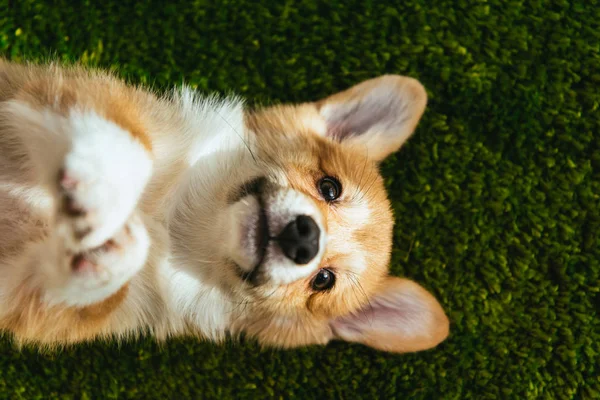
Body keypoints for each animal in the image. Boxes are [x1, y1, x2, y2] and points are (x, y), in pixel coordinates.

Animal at [0, 59, 448, 354]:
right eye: (329, 187)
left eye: (323, 280)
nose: (306, 238)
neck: (170, 220)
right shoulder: (54, 95)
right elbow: (134, 143)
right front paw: (100, 184)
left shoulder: (26, 293)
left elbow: (88, 287)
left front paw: (112, 245)